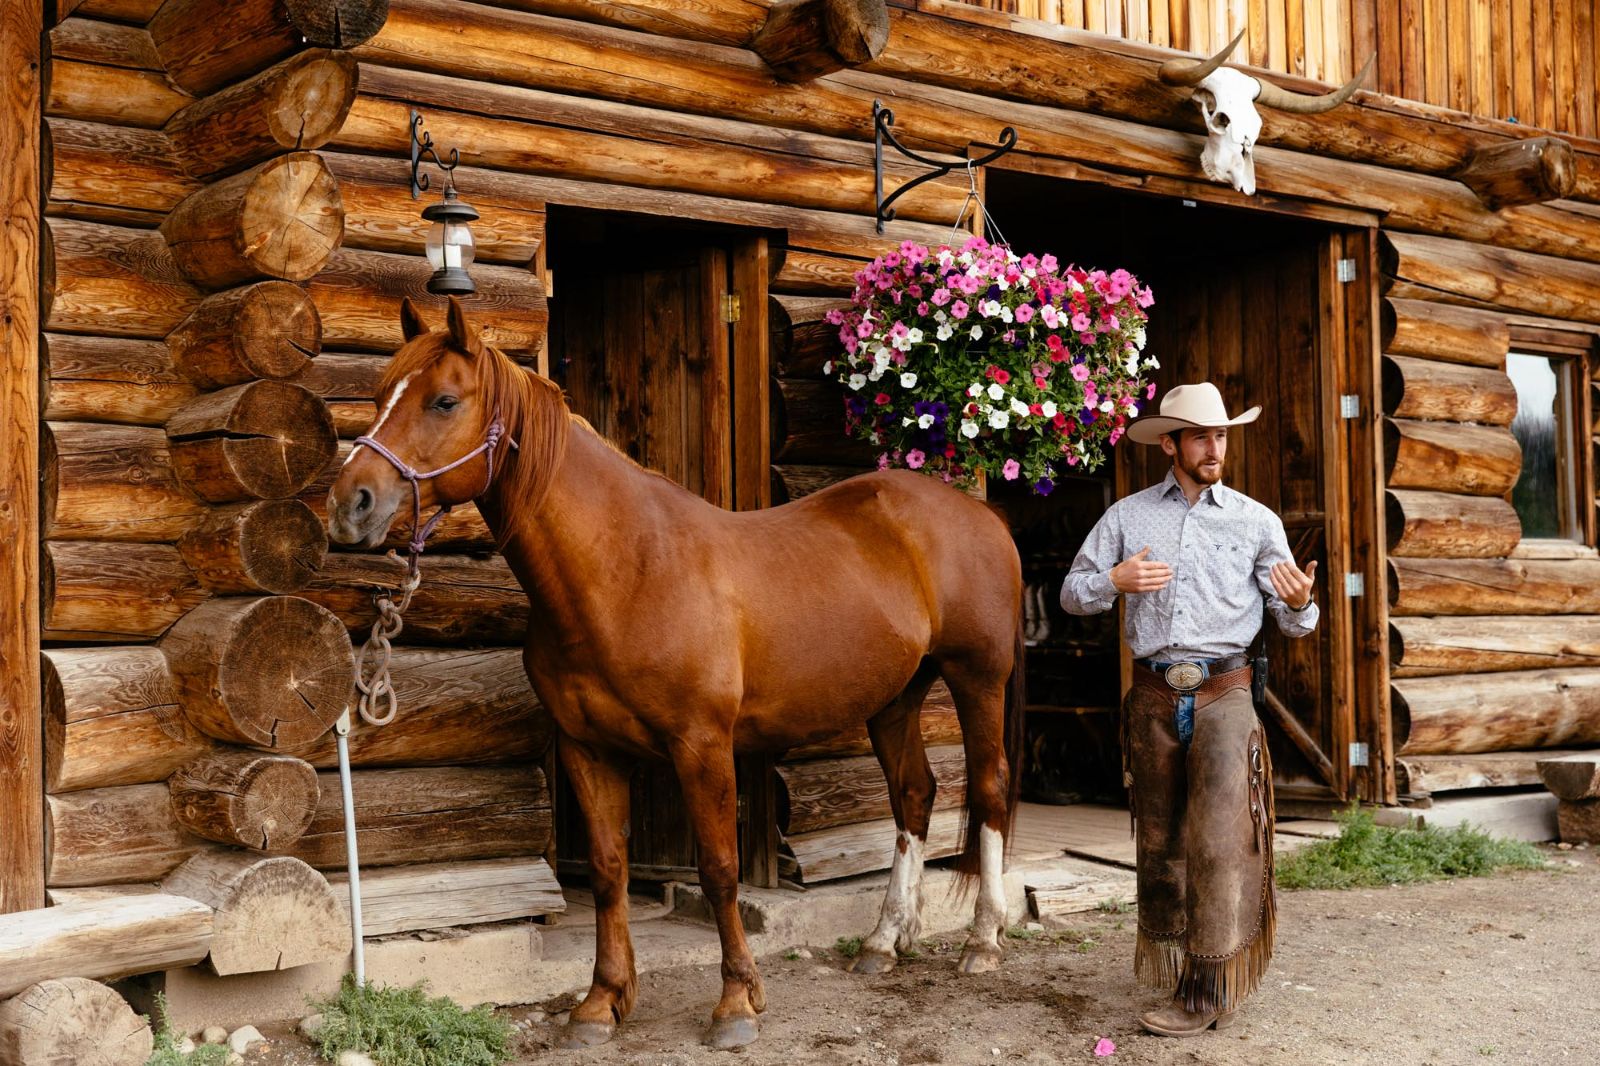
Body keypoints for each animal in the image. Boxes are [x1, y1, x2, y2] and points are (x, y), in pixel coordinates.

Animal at [326, 296, 1026, 1050]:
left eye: (444, 401)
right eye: (378, 395)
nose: (350, 504)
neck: (626, 568)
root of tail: (979, 512)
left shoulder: (702, 746)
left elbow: (719, 870)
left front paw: (737, 1003)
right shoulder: (588, 750)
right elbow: (608, 872)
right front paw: (602, 1002)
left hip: (976, 679)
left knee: (988, 788)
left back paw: (983, 941)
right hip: (896, 696)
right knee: (913, 796)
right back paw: (883, 942)